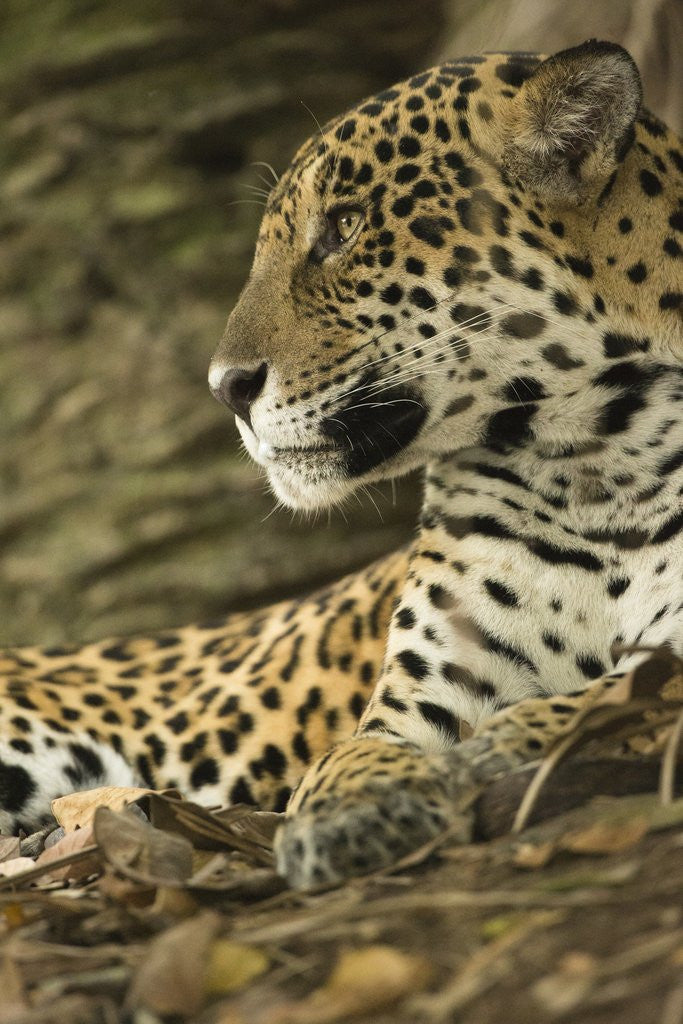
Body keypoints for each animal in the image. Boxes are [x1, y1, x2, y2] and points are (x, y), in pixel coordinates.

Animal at [0, 40, 681, 890]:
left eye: (346, 227)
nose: (225, 388)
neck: (596, 470)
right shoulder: (419, 695)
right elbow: (349, 756)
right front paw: (352, 814)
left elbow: (614, 694)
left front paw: (506, 745)